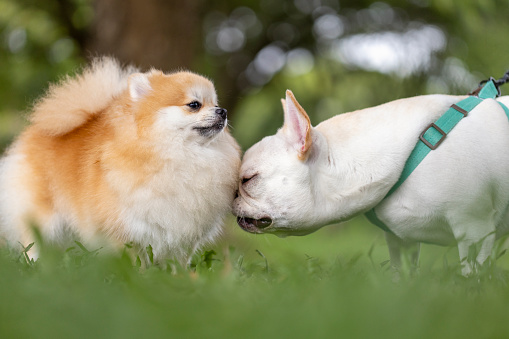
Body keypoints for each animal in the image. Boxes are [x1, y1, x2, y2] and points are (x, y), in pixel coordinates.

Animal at [0, 57, 241, 262]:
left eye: (215, 103)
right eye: (194, 104)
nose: (222, 111)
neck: (182, 155)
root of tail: (34, 132)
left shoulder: (181, 235)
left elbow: (177, 262)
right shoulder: (124, 230)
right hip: (44, 220)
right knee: (35, 246)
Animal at [232, 86, 508, 274]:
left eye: (247, 180)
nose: (231, 195)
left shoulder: (474, 230)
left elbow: (471, 273)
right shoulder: (400, 241)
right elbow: (403, 273)